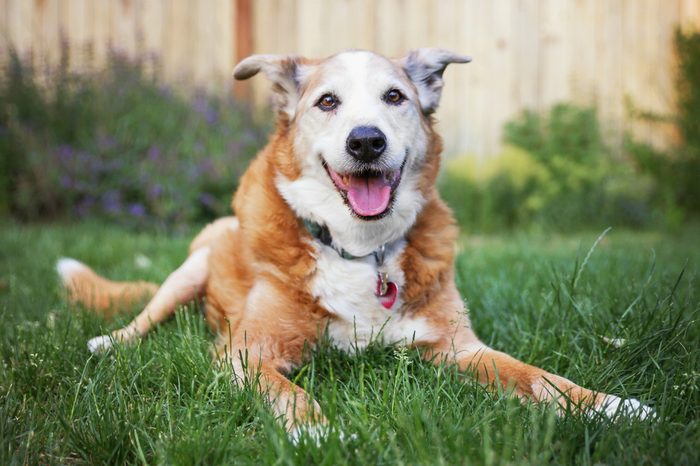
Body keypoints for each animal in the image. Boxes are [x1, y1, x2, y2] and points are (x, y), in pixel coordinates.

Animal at [57, 47, 652, 436]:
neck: (363, 249)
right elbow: (287, 392)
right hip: (191, 270)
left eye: (394, 97)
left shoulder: (458, 348)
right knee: (146, 315)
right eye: (327, 102)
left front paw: (611, 406)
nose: (367, 141)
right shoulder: (246, 354)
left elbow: (539, 378)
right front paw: (318, 433)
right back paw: (108, 342)